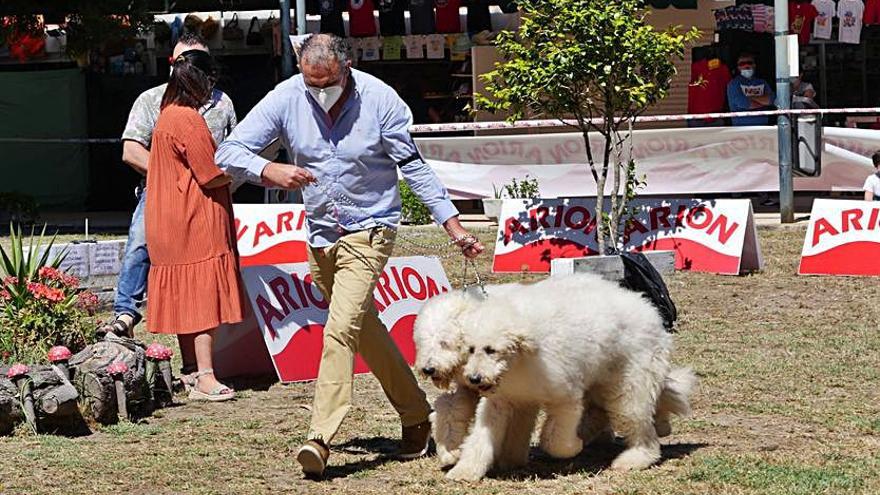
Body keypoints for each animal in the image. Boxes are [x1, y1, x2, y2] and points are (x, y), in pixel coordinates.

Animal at [446, 274, 680, 482]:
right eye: (470, 349)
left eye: (491, 350)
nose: (474, 378)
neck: (521, 359)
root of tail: (649, 309)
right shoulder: (500, 401)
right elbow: (480, 437)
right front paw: (465, 471)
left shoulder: (565, 397)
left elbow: (554, 440)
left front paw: (573, 446)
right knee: (601, 412)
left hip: (630, 385)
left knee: (639, 424)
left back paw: (635, 458)